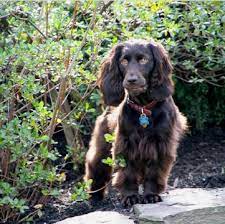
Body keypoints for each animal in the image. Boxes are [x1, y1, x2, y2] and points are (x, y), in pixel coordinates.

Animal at [84, 39, 186, 206]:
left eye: (143, 60)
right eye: (124, 61)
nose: (131, 80)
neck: (143, 108)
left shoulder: (161, 144)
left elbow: (154, 172)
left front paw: (151, 195)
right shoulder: (125, 143)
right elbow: (127, 172)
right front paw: (130, 196)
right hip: (103, 144)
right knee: (96, 167)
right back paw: (94, 196)